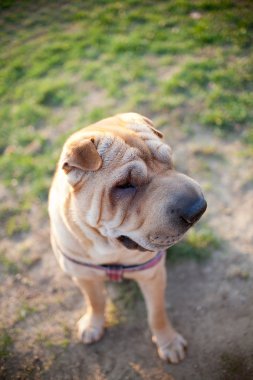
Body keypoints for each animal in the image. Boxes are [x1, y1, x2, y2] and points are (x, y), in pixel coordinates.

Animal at [48, 112, 207, 362]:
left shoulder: (152, 275)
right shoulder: (82, 275)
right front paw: (93, 325)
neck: (108, 247)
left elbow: (156, 313)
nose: (198, 208)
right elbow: (95, 301)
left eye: (169, 160)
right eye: (124, 185)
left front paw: (168, 342)